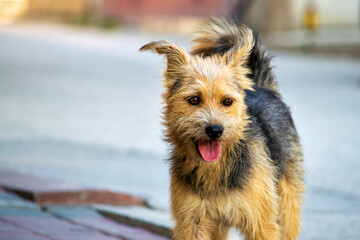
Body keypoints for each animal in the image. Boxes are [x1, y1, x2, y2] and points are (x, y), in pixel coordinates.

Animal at [140, 17, 304, 239]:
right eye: (194, 99)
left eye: (227, 101)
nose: (215, 130)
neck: (216, 170)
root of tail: (263, 87)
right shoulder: (192, 222)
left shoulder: (262, 224)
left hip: (287, 204)